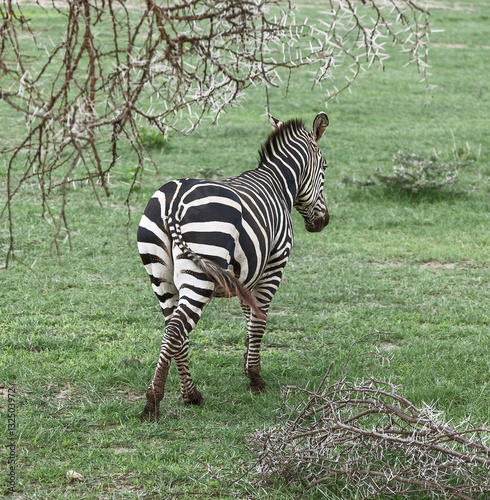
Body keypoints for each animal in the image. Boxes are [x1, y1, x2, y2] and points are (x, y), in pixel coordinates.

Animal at [138, 112, 330, 422]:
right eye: (324, 167)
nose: (322, 222)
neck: (278, 184)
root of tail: (174, 202)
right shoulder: (273, 265)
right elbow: (259, 320)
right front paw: (255, 378)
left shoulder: (246, 275)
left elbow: (249, 316)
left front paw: (246, 363)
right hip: (200, 273)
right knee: (177, 329)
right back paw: (155, 402)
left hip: (160, 275)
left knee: (172, 329)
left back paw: (190, 394)